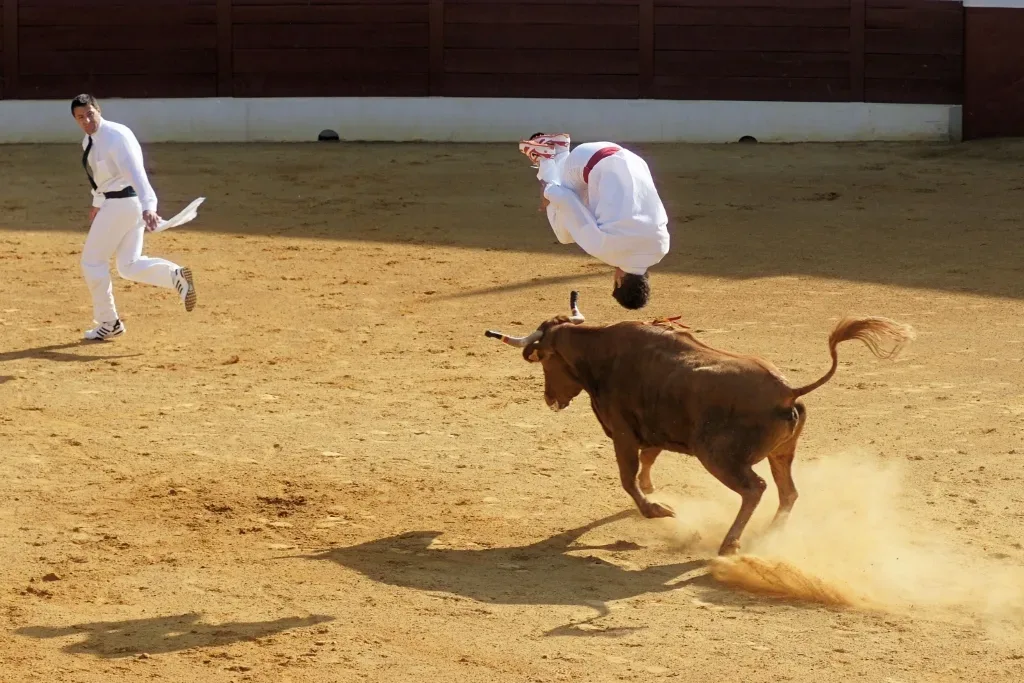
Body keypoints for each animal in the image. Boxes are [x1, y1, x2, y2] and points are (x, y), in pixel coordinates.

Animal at [487, 292, 913, 557]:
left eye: (545, 359)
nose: (550, 399)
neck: (600, 352)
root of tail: (787, 391)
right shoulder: (653, 432)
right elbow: (646, 464)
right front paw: (653, 494)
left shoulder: (622, 432)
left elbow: (628, 476)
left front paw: (655, 509)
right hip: (781, 453)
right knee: (788, 492)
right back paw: (769, 536)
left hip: (718, 458)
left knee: (755, 489)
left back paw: (730, 543)